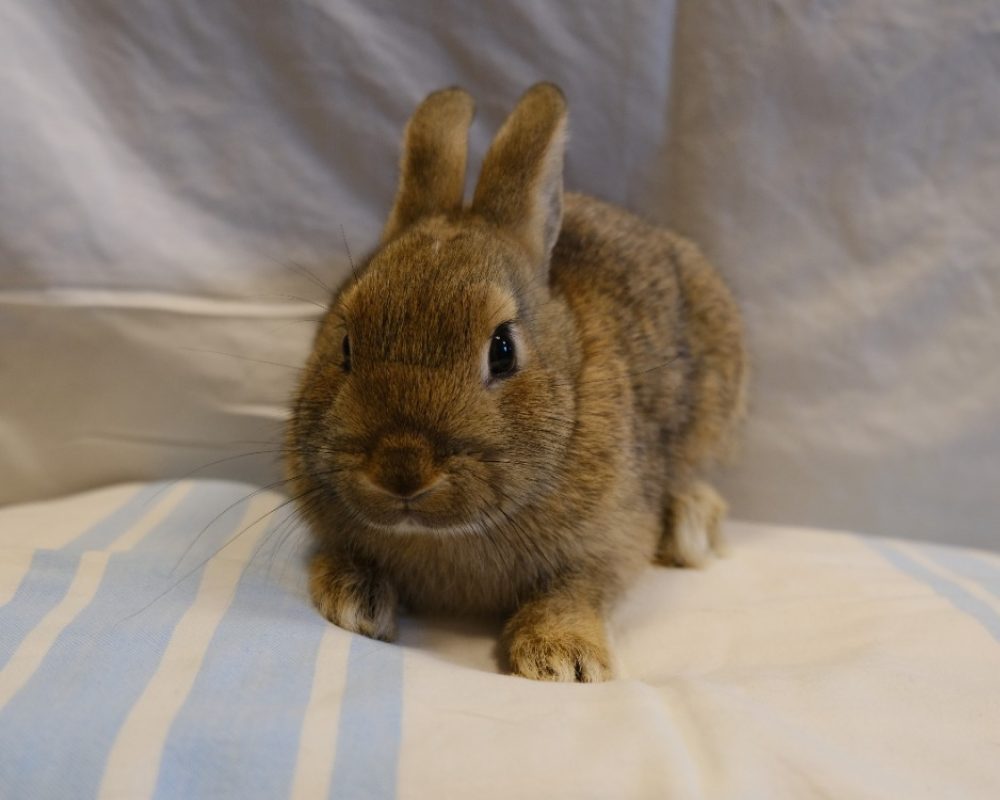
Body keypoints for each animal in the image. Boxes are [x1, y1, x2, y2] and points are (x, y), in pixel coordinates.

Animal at [286, 83, 746, 682]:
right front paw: (352, 602)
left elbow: (576, 590)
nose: (401, 470)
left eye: (502, 350)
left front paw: (564, 659)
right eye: (344, 343)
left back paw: (690, 528)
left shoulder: (610, 539)